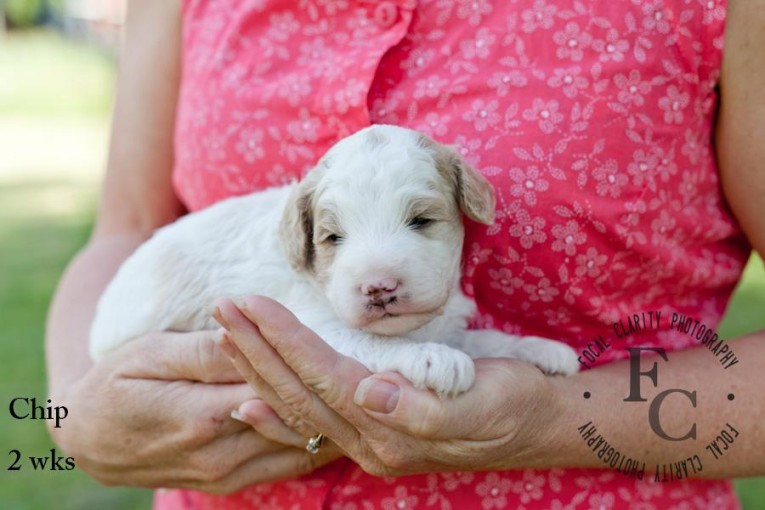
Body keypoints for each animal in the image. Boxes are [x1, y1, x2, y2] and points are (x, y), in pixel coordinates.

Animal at [89, 123, 576, 394]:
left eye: (421, 221)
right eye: (333, 237)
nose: (379, 287)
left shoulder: (447, 323)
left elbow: (484, 340)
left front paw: (539, 348)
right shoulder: (314, 324)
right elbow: (379, 342)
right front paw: (431, 358)